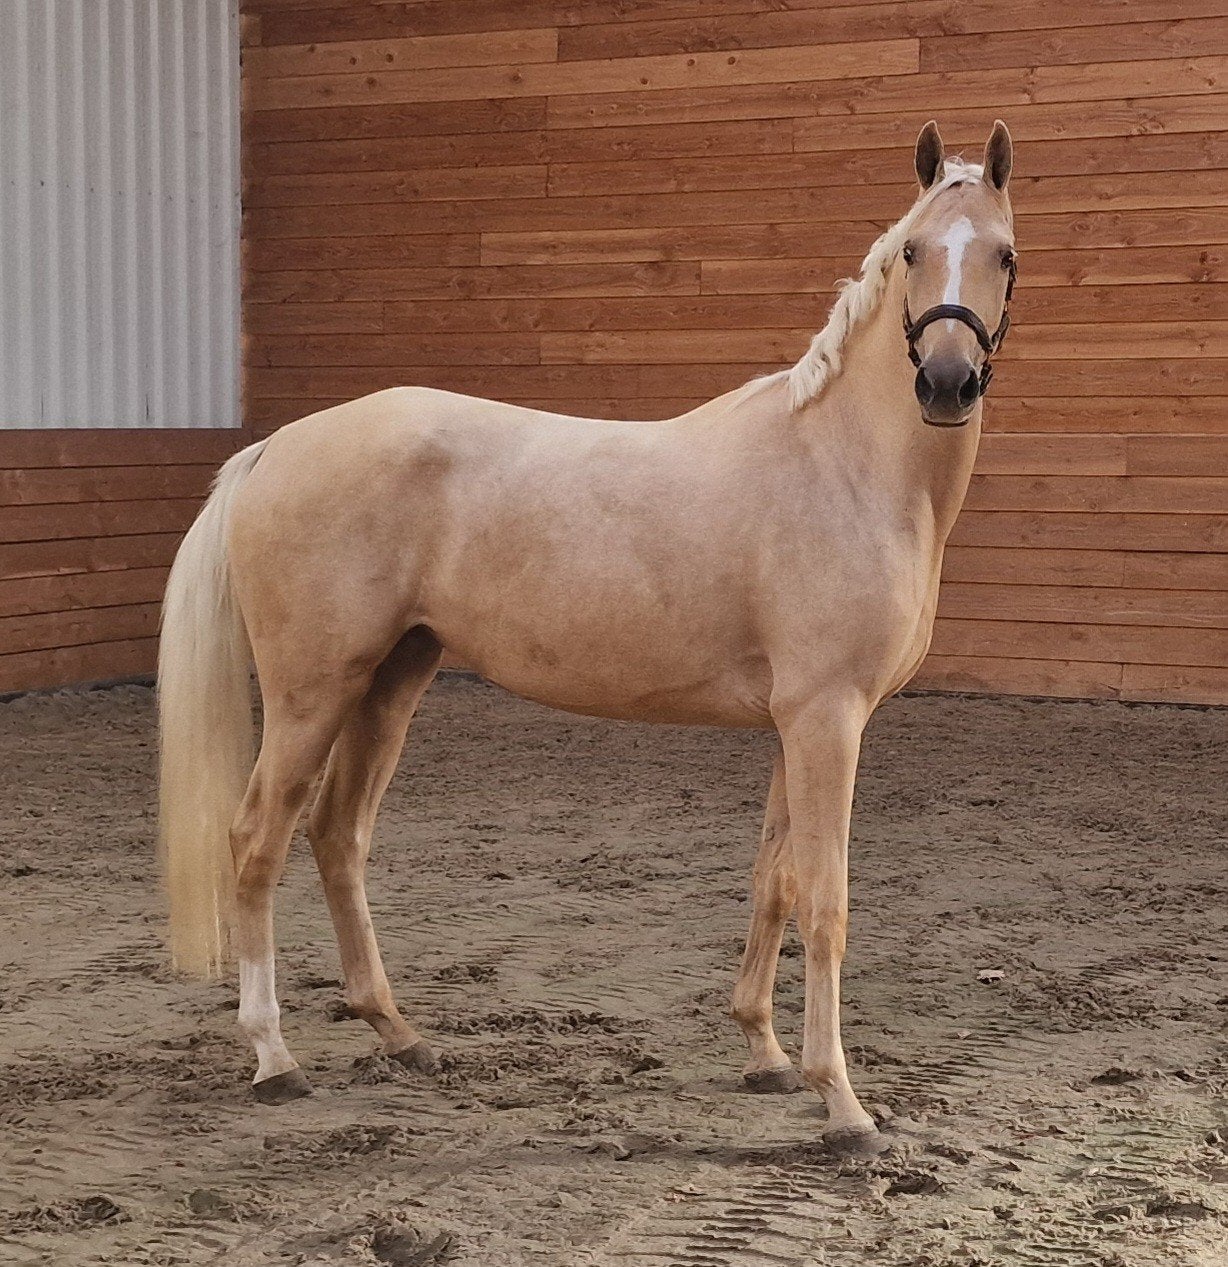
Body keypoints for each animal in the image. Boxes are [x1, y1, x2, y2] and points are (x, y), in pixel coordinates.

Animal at [159, 120, 1016, 1156]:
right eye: (914, 252)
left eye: (1005, 256)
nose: (946, 382)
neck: (843, 466)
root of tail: (276, 446)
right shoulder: (828, 720)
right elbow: (826, 900)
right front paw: (843, 1105)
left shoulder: (797, 726)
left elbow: (772, 881)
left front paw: (765, 1055)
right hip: (310, 693)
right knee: (256, 840)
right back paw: (274, 1058)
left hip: (391, 679)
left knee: (337, 834)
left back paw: (401, 1035)